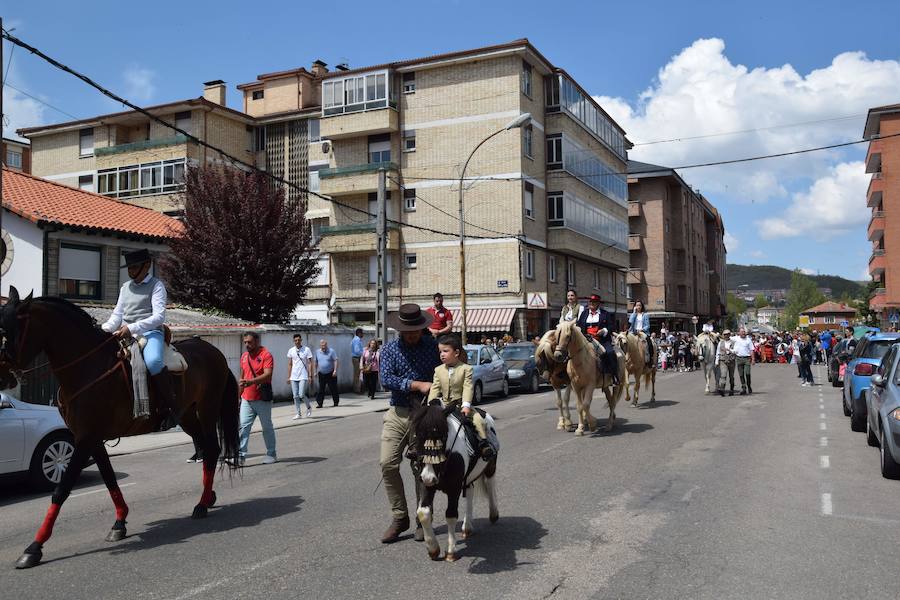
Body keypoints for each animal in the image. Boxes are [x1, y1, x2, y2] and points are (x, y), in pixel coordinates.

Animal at [0, 288, 239, 568]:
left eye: (7, 330)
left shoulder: (85, 439)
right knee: (206, 449)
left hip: (207, 410)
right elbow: (109, 478)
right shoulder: (92, 439)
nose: (2, 377)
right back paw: (208, 497)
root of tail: (213, 351)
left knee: (211, 450)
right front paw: (119, 522)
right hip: (188, 416)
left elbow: (61, 489)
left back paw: (201, 504)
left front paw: (34, 547)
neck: (88, 367)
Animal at [410, 400, 500, 560]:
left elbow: (451, 515)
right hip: (467, 477)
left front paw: (450, 551)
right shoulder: (426, 484)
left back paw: (493, 514)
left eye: (442, 436)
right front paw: (433, 549)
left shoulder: (454, 487)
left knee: (490, 484)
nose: (428, 477)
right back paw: (467, 527)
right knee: (470, 492)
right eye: (417, 436)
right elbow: (423, 512)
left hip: (491, 465)